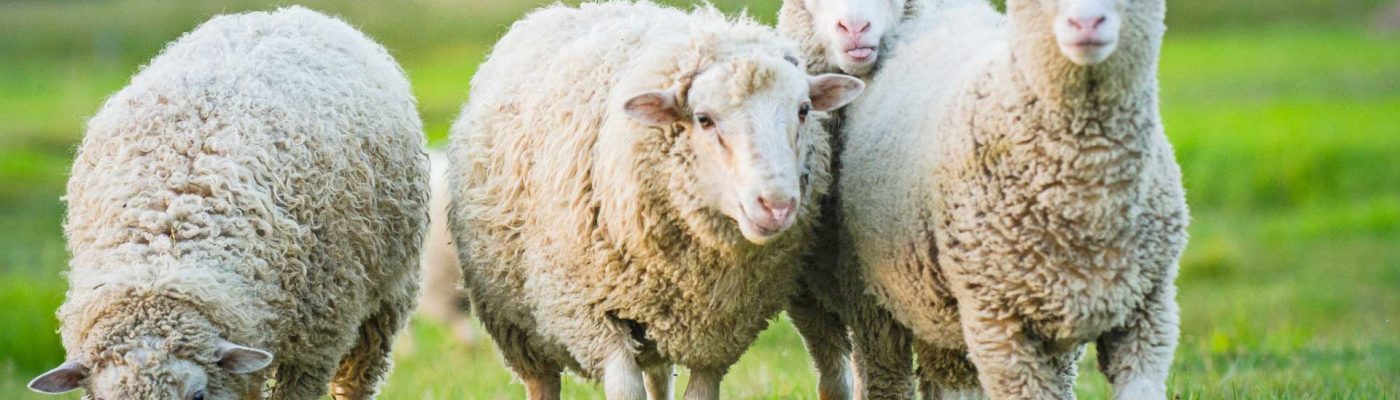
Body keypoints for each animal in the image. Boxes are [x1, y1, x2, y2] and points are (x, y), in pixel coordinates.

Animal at [446, 2, 864, 399]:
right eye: (704, 119)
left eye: (804, 110)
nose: (776, 206)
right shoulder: (593, 316)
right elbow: (624, 389)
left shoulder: (717, 335)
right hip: (517, 326)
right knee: (542, 381)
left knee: (659, 376)